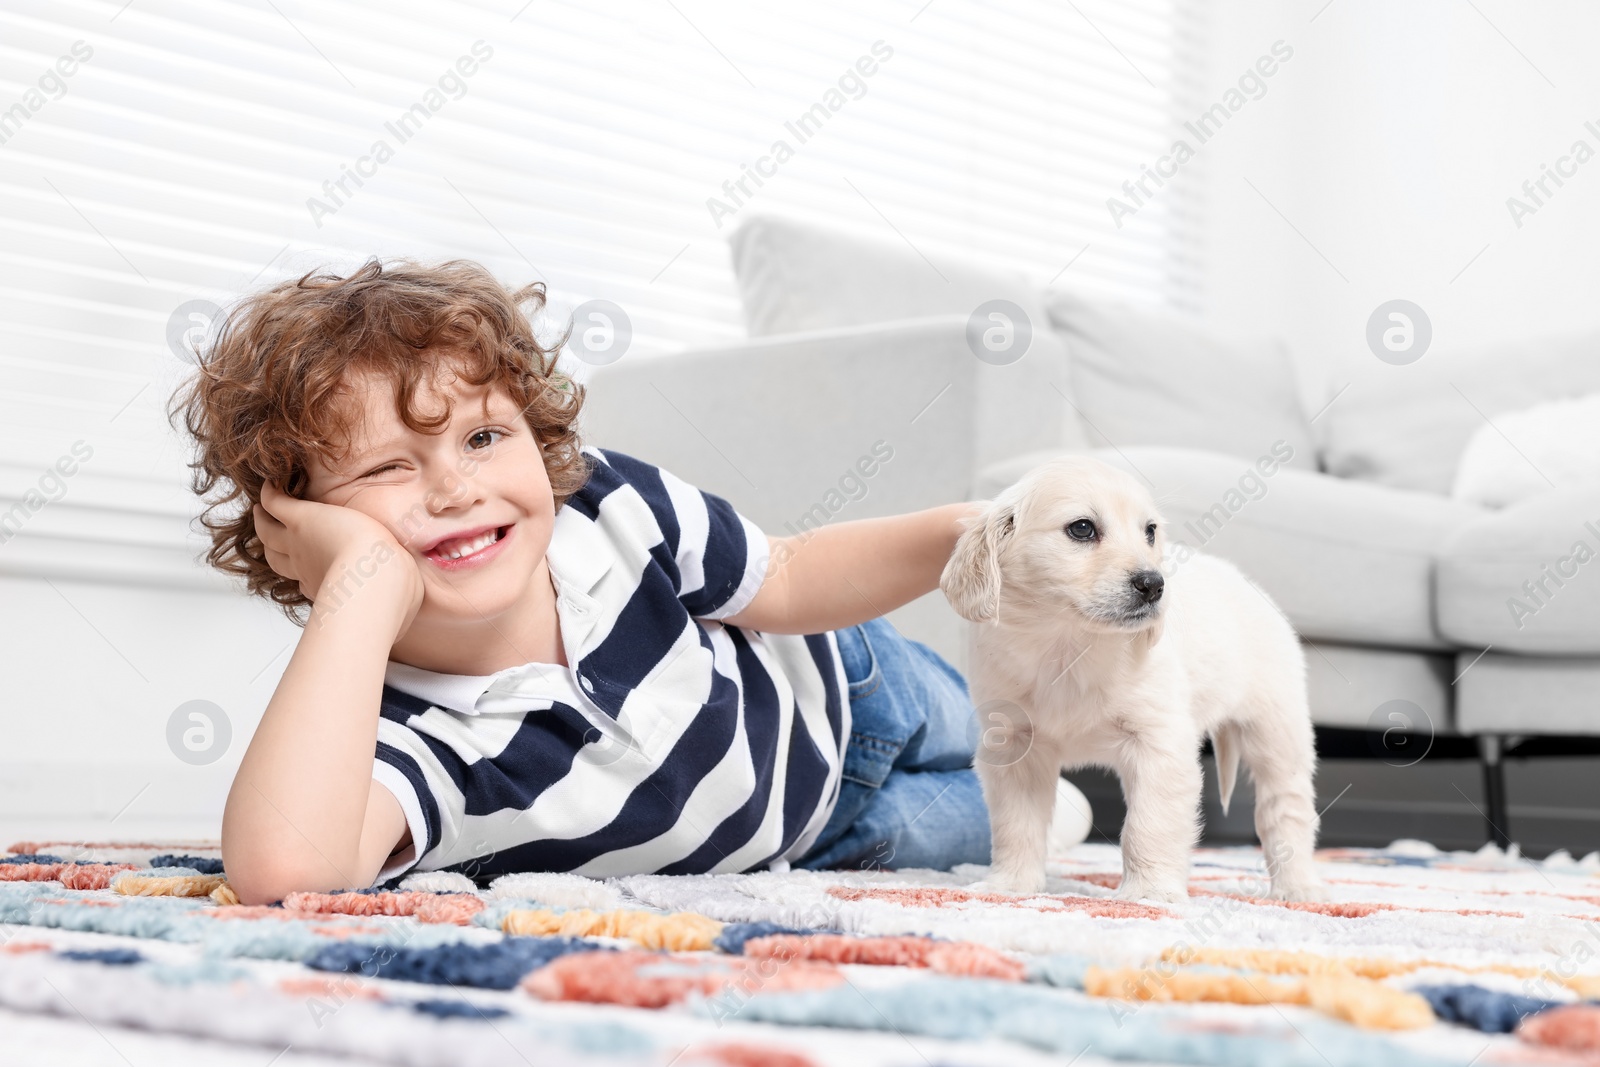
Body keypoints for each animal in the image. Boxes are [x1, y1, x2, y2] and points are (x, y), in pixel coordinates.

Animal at [934, 454, 1324, 908]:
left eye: (1150, 532)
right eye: (1082, 528)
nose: (1154, 584)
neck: (1070, 646)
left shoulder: (1160, 744)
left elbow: (1148, 826)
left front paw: (1150, 893)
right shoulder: (1014, 748)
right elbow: (1016, 826)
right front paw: (1010, 885)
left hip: (1277, 731)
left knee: (1286, 810)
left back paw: (1298, 888)